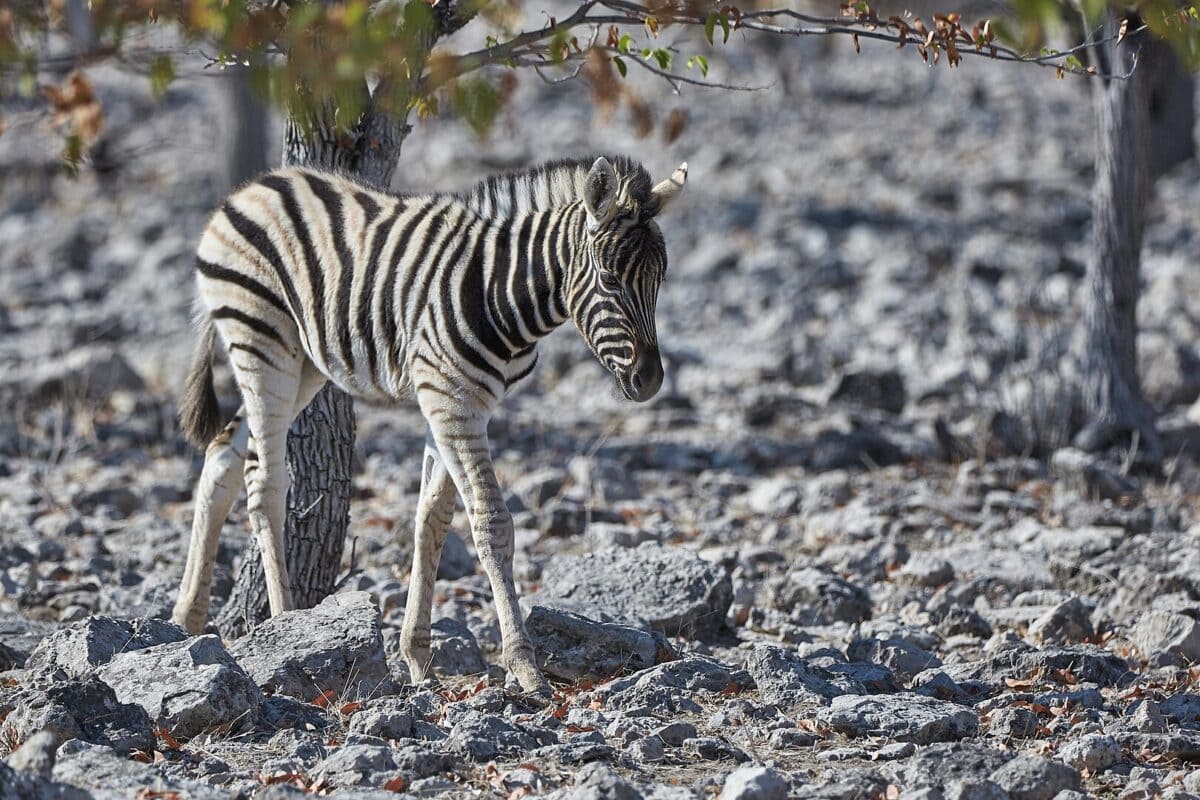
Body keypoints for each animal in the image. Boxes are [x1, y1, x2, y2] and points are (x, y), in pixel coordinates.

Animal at [172, 154, 687, 694]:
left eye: (659, 280)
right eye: (608, 278)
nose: (651, 381)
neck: (501, 290)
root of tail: (250, 189)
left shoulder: (454, 404)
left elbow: (432, 520)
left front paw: (418, 658)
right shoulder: (450, 402)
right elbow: (491, 522)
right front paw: (523, 663)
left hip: (304, 363)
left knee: (222, 456)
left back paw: (186, 618)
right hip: (261, 342)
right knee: (264, 479)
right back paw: (287, 623)